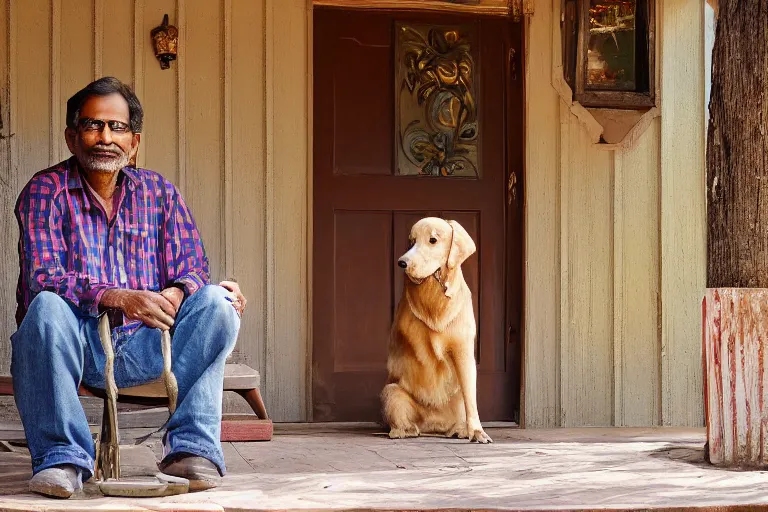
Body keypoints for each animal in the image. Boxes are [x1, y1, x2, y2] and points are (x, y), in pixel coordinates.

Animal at [380, 216, 492, 444]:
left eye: (433, 240)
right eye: (411, 241)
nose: (402, 263)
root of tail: (434, 428)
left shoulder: (463, 350)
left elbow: (471, 398)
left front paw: (477, 431)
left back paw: (461, 430)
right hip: (391, 392)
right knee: (399, 412)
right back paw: (403, 430)